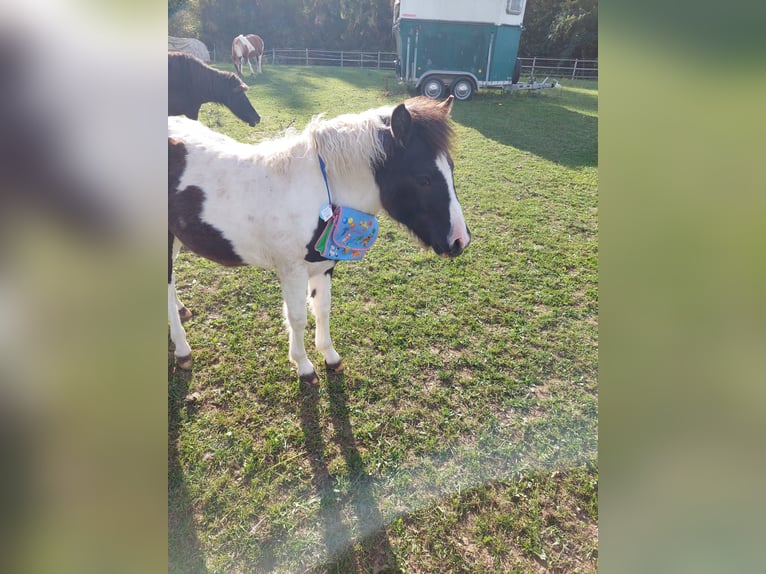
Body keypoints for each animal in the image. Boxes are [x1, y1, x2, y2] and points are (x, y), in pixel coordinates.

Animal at [168, 95, 472, 382]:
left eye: (452, 168)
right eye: (424, 179)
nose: (460, 240)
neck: (318, 193)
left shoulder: (323, 266)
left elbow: (322, 309)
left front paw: (330, 357)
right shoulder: (292, 270)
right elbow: (298, 318)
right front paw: (303, 366)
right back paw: (182, 350)